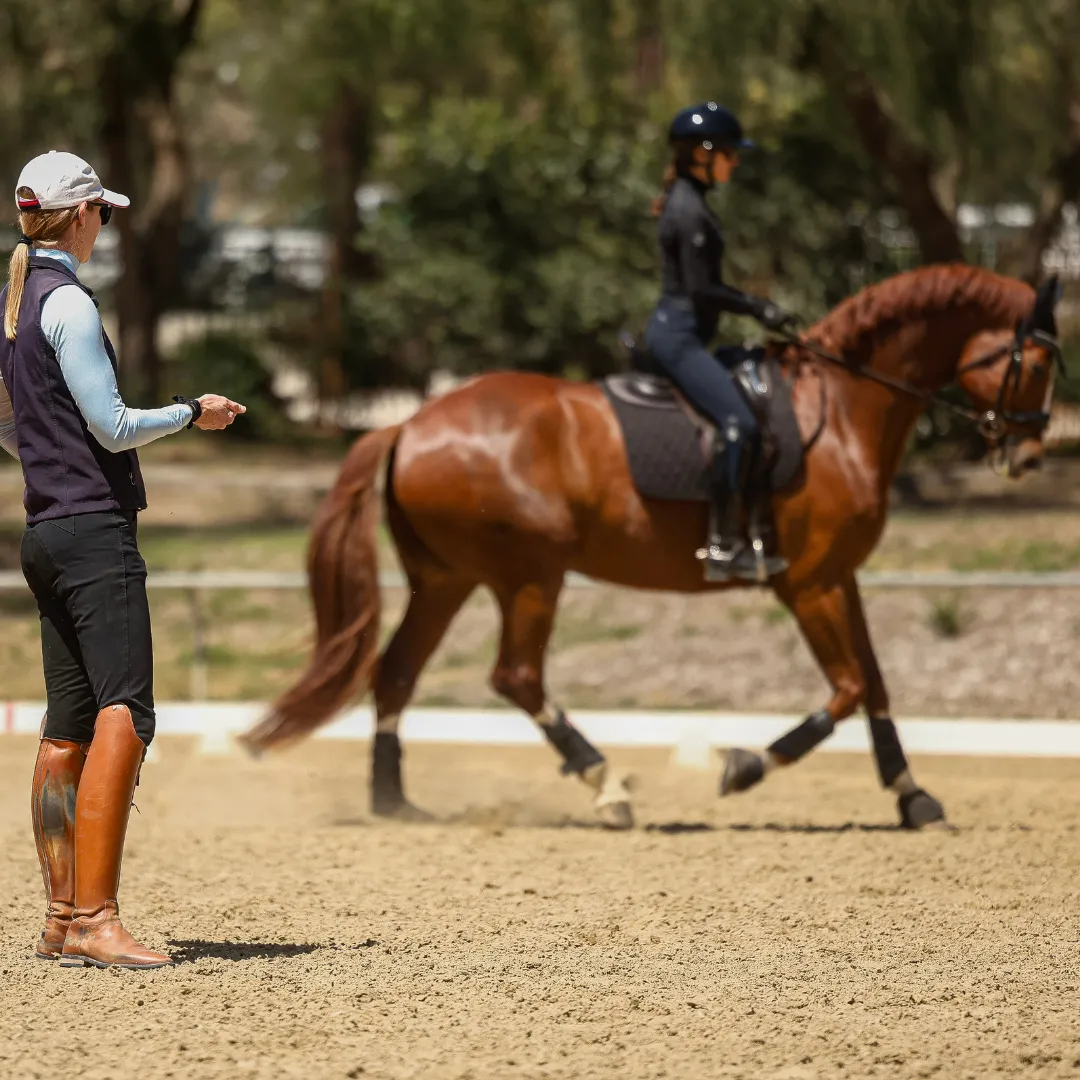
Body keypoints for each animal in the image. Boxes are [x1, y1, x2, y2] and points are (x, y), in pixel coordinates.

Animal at [240, 263, 1063, 830]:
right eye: (1038, 361)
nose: (1027, 456)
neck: (842, 409)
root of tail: (409, 422)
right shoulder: (808, 583)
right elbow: (850, 688)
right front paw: (742, 766)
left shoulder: (841, 578)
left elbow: (878, 687)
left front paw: (913, 796)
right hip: (529, 575)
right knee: (515, 677)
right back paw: (607, 784)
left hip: (445, 579)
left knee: (397, 675)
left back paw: (394, 801)